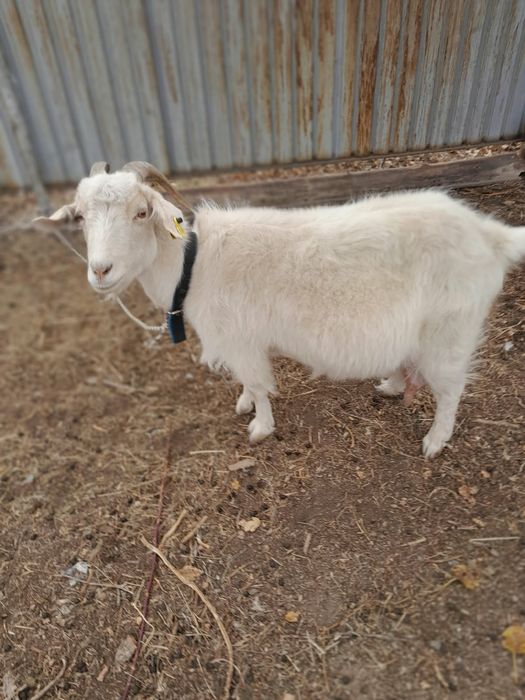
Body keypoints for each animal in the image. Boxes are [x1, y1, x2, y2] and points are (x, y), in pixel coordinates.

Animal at [36, 161, 525, 457]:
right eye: (80, 217)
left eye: (141, 212)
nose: (101, 271)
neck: (195, 263)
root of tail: (490, 234)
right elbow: (245, 384)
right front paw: (242, 404)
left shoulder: (240, 340)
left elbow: (258, 383)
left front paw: (260, 427)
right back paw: (389, 385)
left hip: (451, 330)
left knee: (451, 389)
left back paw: (435, 440)